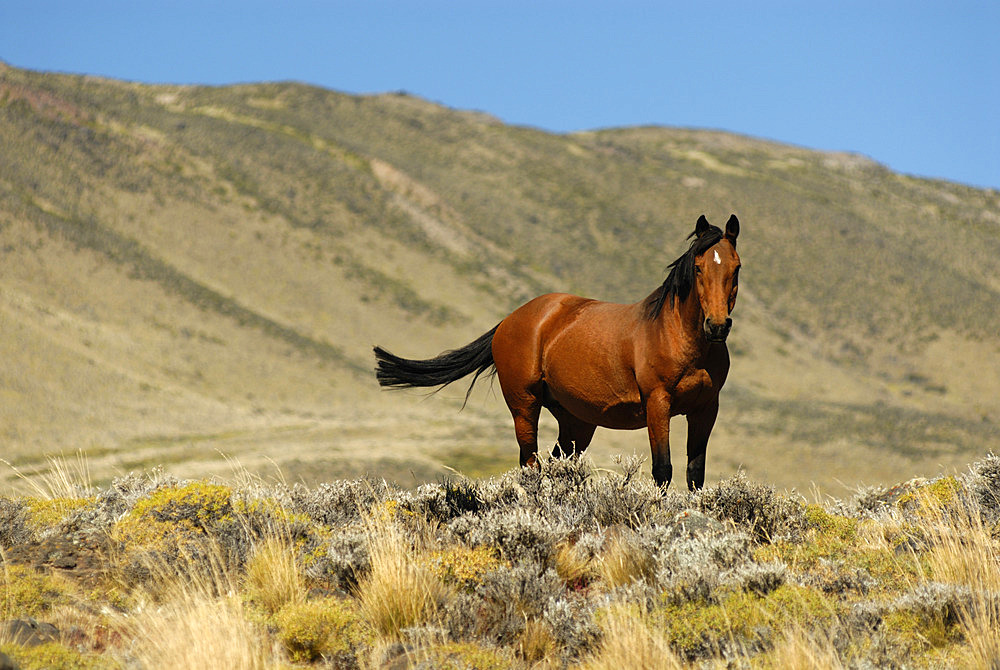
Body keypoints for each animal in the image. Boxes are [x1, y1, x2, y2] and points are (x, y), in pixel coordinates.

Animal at [372, 215, 740, 488]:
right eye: (698, 267)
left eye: (735, 267)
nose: (717, 326)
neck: (677, 337)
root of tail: (511, 319)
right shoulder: (657, 404)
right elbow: (663, 470)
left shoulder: (706, 409)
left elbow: (695, 473)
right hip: (525, 407)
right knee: (530, 463)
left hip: (576, 421)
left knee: (556, 464)